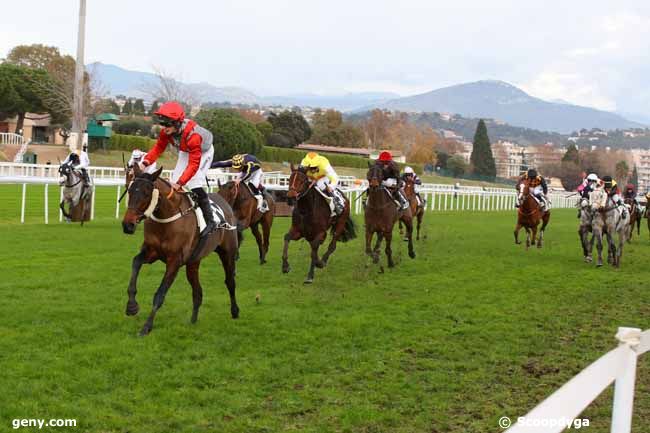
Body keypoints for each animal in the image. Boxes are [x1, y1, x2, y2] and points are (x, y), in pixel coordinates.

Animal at [120, 164, 239, 336]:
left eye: (146, 193)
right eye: (129, 190)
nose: (127, 225)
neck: (166, 217)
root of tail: (224, 201)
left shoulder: (174, 261)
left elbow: (160, 294)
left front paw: (146, 327)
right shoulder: (151, 252)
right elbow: (135, 262)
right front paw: (131, 306)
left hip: (227, 253)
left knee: (230, 281)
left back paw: (235, 311)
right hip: (193, 262)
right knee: (197, 291)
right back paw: (193, 320)